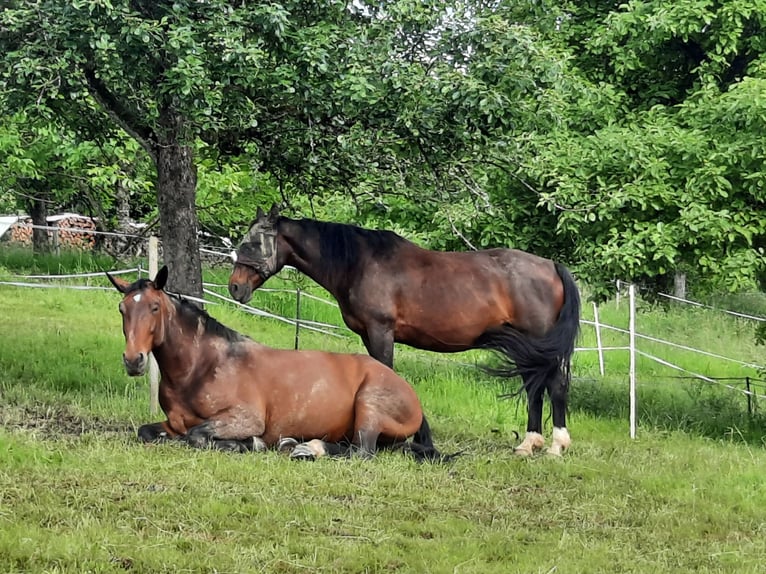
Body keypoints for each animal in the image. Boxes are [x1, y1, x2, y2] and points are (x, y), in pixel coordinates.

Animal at [107, 265, 443, 461]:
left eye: (154, 307)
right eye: (122, 309)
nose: (133, 360)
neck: (202, 366)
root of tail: (407, 390)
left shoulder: (245, 418)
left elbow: (197, 436)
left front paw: (249, 444)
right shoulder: (172, 423)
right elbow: (147, 432)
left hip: (369, 409)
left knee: (362, 452)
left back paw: (307, 448)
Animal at [228, 205, 581, 456]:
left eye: (253, 243)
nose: (235, 288)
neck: (360, 263)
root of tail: (551, 266)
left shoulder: (381, 331)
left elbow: (388, 373)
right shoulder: (369, 334)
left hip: (539, 344)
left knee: (555, 387)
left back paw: (556, 446)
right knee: (535, 389)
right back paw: (528, 444)